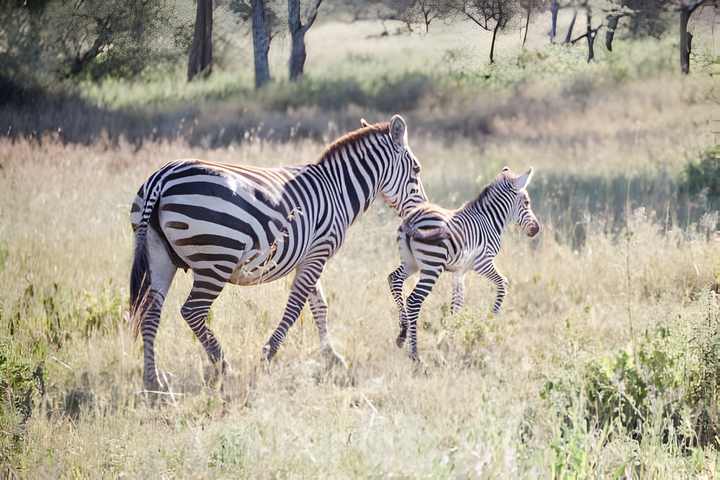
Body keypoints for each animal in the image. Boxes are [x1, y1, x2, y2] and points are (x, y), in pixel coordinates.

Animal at [130, 115, 427, 390]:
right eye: (417, 169)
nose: (422, 212)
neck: (338, 190)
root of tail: (162, 177)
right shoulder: (318, 253)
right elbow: (295, 307)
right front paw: (267, 357)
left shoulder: (311, 255)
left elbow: (319, 306)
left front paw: (332, 357)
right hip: (216, 260)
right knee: (192, 311)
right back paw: (224, 367)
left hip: (159, 258)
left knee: (149, 312)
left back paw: (152, 381)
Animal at [387, 167, 539, 359]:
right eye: (526, 202)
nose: (536, 229)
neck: (489, 219)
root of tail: (412, 219)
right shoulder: (483, 263)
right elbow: (503, 284)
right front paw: (489, 323)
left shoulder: (461, 271)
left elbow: (456, 306)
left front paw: (450, 342)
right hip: (432, 266)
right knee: (414, 300)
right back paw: (415, 355)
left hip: (410, 263)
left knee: (394, 279)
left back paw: (402, 335)